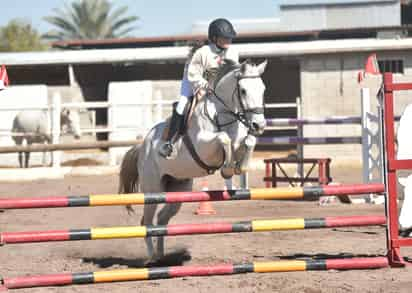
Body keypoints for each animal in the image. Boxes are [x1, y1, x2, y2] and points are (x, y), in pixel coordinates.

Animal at [119, 60, 268, 262]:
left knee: (162, 219)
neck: (222, 115)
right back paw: (152, 258)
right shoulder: (204, 146)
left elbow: (249, 141)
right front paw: (227, 170)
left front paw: (240, 167)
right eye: (243, 91)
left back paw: (161, 255)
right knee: (147, 222)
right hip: (152, 190)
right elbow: (223, 138)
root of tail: (142, 147)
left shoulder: (240, 140)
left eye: (263, 89)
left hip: (178, 190)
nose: (259, 125)